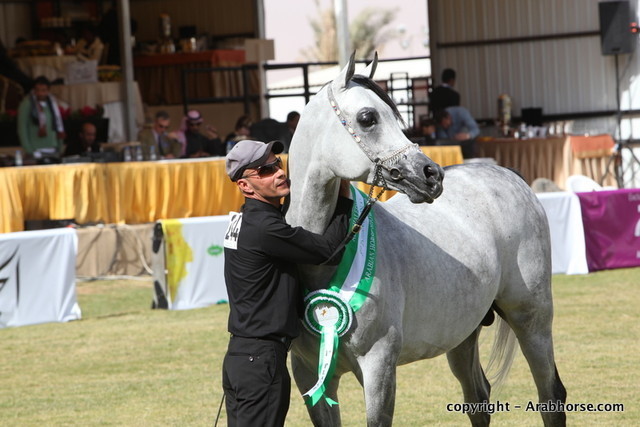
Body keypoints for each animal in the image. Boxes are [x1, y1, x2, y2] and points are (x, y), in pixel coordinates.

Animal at [285, 53, 566, 426]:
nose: (432, 175)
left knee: (550, 396)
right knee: (478, 398)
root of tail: (508, 175)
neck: (322, 259)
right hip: (463, 334)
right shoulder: (309, 375)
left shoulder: (378, 366)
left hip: (531, 320)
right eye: (367, 117)